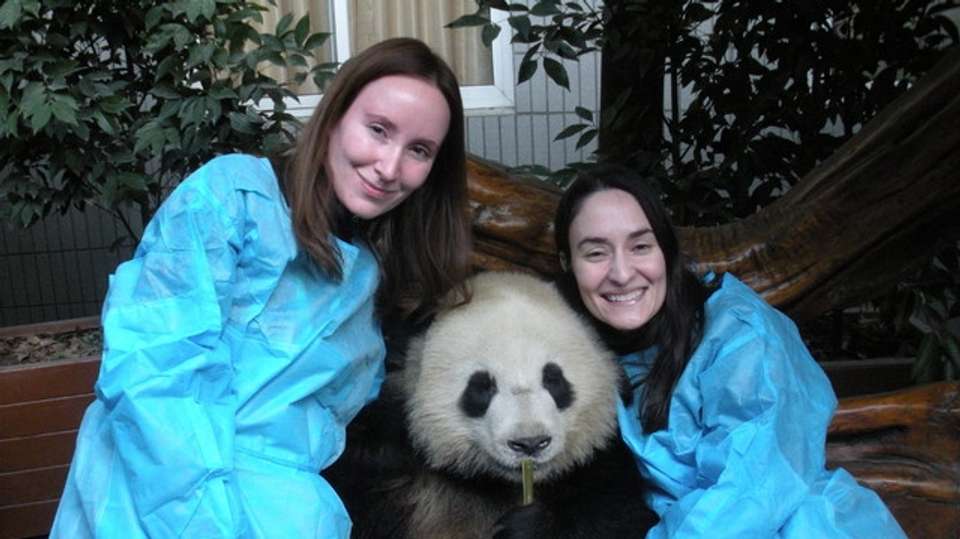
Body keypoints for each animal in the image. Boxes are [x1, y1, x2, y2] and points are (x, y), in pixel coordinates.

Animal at [323, 271, 657, 538]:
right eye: (481, 386)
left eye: (554, 379)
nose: (530, 443)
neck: (492, 484)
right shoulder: (386, 461)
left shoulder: (599, 462)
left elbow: (622, 516)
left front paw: (528, 527)